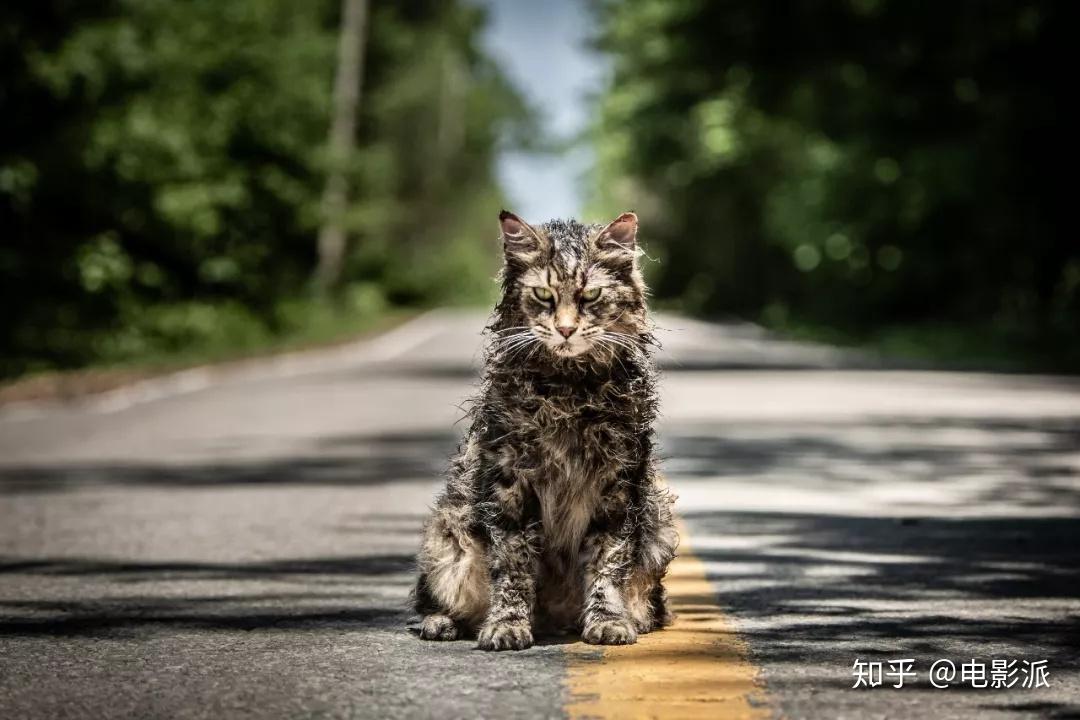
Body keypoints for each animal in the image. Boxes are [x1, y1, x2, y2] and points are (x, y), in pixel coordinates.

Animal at [410, 211, 673, 651]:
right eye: (544, 295)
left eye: (590, 296)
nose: (565, 330)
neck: (568, 391)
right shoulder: (509, 483)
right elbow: (513, 566)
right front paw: (507, 625)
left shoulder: (619, 485)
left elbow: (607, 562)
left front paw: (608, 621)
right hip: (448, 536)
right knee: (434, 600)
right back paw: (441, 623)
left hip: (659, 531)